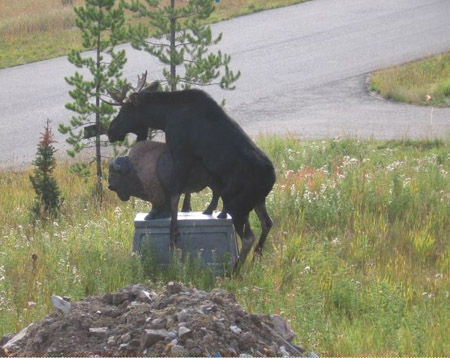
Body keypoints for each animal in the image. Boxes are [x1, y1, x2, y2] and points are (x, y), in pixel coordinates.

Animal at [106, 72, 274, 264]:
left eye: (123, 111)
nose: (110, 131)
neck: (164, 118)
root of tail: (272, 179)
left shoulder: (181, 154)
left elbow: (175, 196)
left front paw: (173, 235)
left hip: (237, 203)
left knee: (248, 237)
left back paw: (237, 267)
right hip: (257, 201)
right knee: (267, 223)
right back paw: (256, 258)